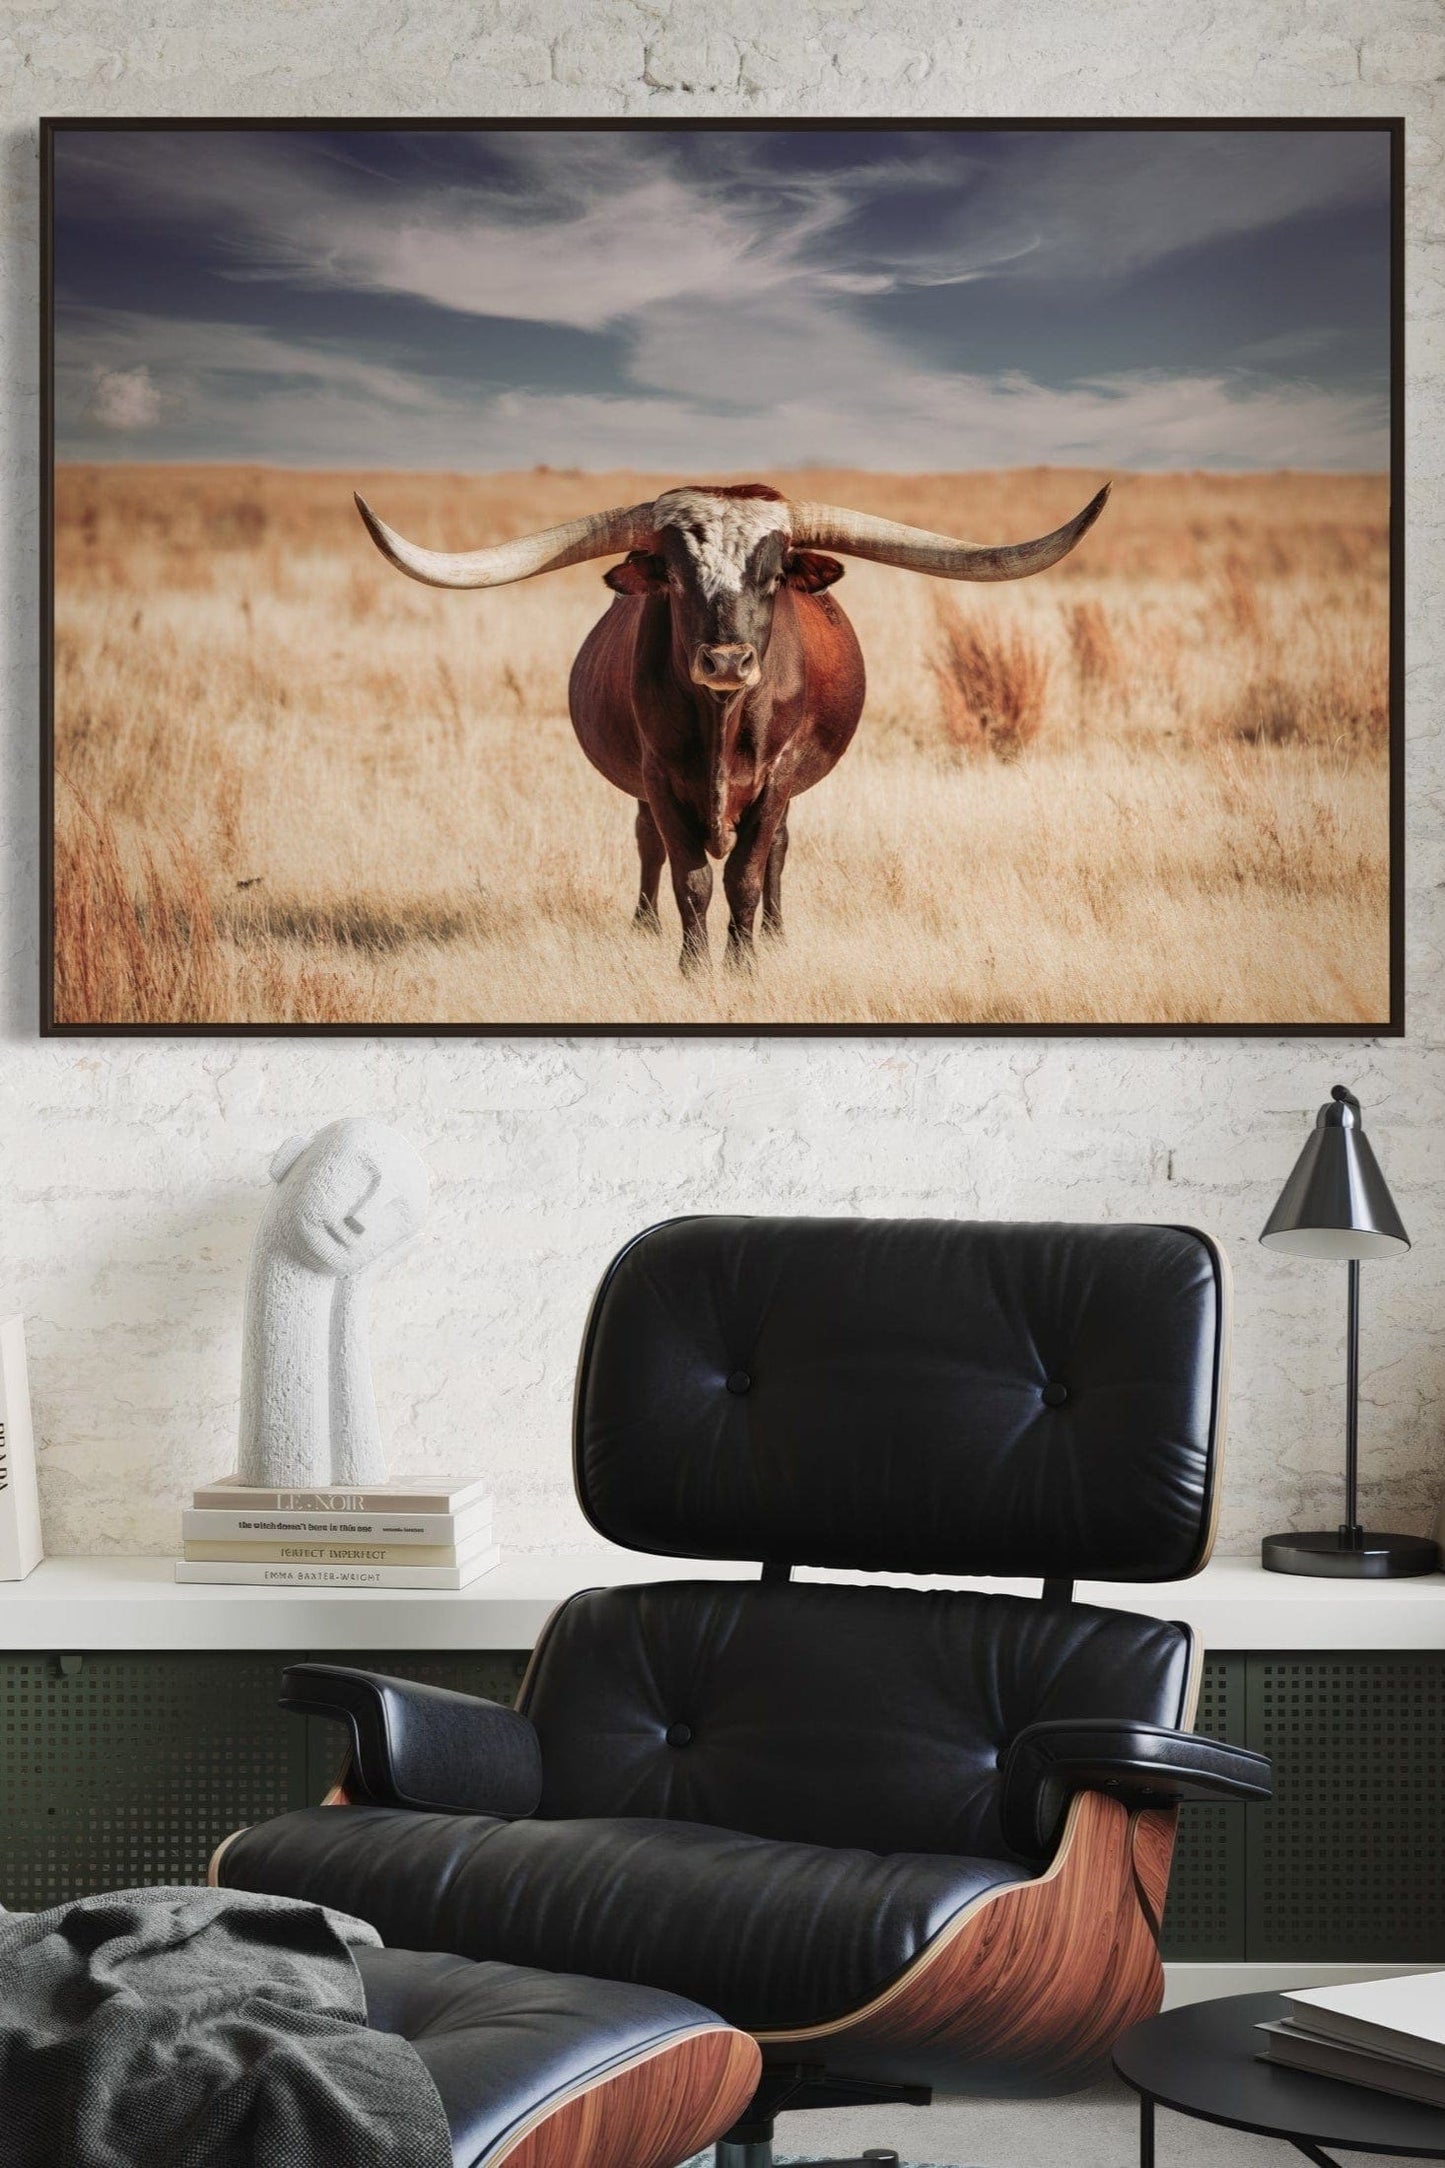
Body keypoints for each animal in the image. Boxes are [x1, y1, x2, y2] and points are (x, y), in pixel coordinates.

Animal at [354, 479, 1110, 972]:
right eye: (675, 577)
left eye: (772, 576)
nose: (725, 659)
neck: (720, 719)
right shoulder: (659, 778)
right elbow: (688, 875)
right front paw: (692, 968)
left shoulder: (776, 778)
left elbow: (747, 871)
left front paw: (744, 963)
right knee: (647, 848)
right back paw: (643, 926)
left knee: (776, 852)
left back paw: (772, 933)